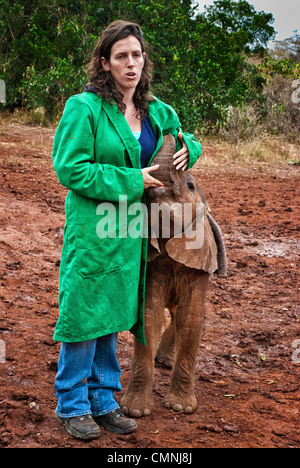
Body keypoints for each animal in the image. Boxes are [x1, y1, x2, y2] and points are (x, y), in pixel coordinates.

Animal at [120, 134, 226, 416]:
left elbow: (192, 319)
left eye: (189, 185)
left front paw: (180, 408)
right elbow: (150, 316)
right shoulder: (153, 264)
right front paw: (135, 411)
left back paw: (166, 362)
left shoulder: (199, 261)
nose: (176, 134)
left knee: (180, 315)